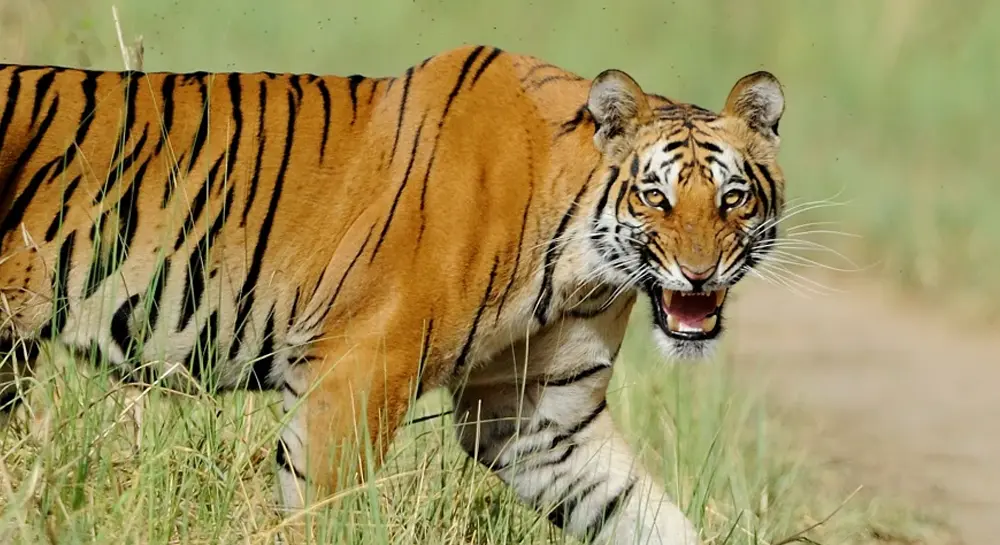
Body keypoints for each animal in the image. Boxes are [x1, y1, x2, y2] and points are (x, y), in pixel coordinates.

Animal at [0, 44, 786, 544]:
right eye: (655, 197)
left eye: (733, 198)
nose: (699, 274)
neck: (582, 266)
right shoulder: (358, 368)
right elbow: (322, 511)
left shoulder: (539, 419)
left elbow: (641, 511)